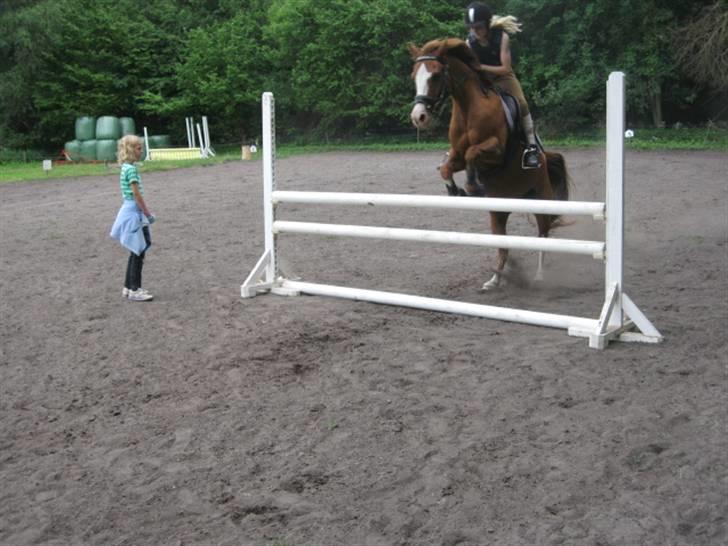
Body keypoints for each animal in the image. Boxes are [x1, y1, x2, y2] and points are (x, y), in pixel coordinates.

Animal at [410, 38, 568, 288]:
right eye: (413, 75)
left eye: (434, 75)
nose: (419, 117)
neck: (467, 107)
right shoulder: (456, 154)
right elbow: (448, 166)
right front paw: (455, 190)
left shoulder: (496, 150)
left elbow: (472, 154)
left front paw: (472, 186)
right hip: (498, 211)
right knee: (503, 244)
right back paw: (494, 280)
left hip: (541, 199)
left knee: (543, 235)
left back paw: (539, 275)